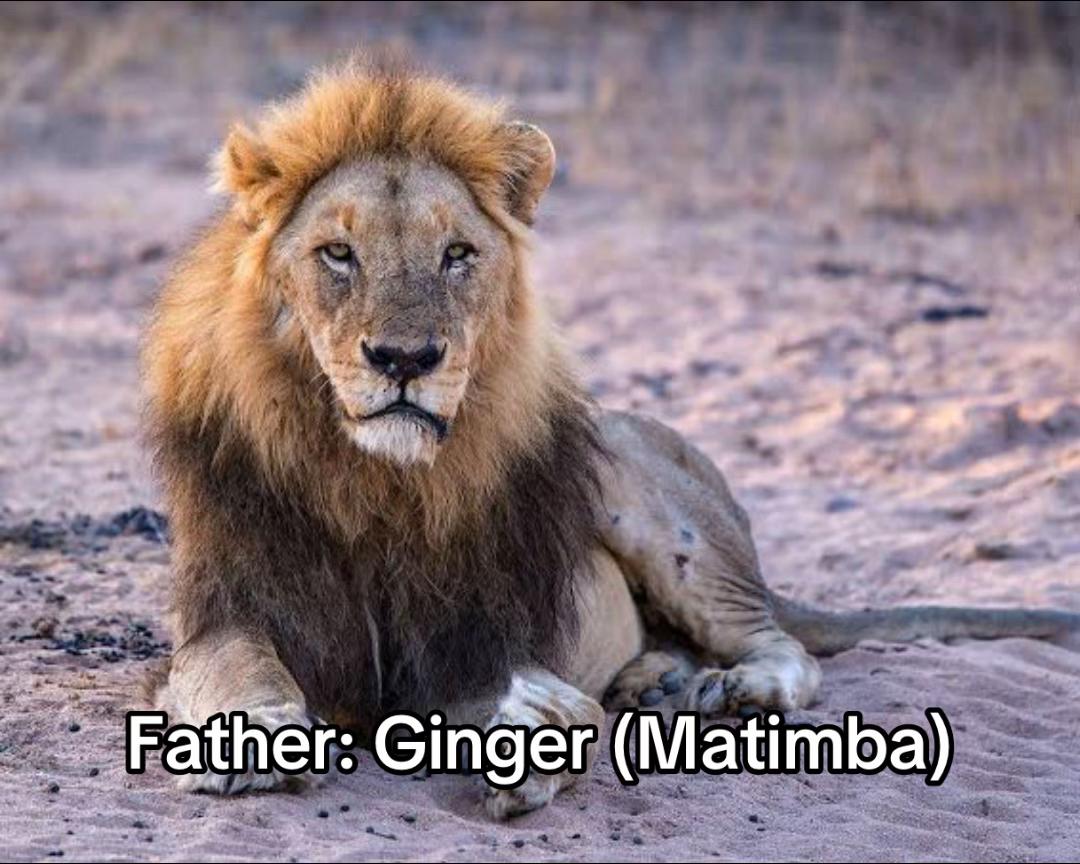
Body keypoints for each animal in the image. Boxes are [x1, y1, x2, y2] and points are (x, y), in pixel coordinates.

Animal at [142, 60, 1080, 818]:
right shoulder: (230, 606)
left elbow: (542, 701)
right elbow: (238, 672)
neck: (374, 478)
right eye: (338, 253)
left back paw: (734, 687)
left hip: (651, 506)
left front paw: (535, 740)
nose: (406, 359)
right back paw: (656, 681)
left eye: (458, 254)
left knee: (778, 641)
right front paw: (251, 742)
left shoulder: (482, 638)